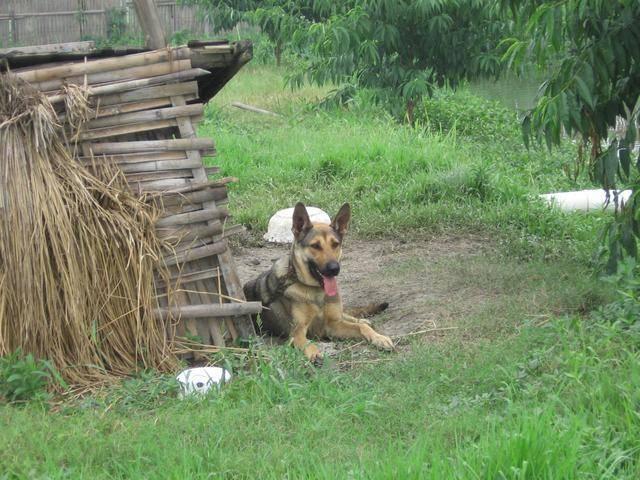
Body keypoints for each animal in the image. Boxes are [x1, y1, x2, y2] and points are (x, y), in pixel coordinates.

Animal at [244, 201, 396, 362]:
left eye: (335, 244)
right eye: (315, 245)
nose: (334, 268)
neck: (315, 290)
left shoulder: (333, 325)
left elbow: (361, 328)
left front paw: (379, 338)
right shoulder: (298, 331)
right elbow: (306, 342)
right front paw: (314, 353)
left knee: (349, 316)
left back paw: (361, 320)